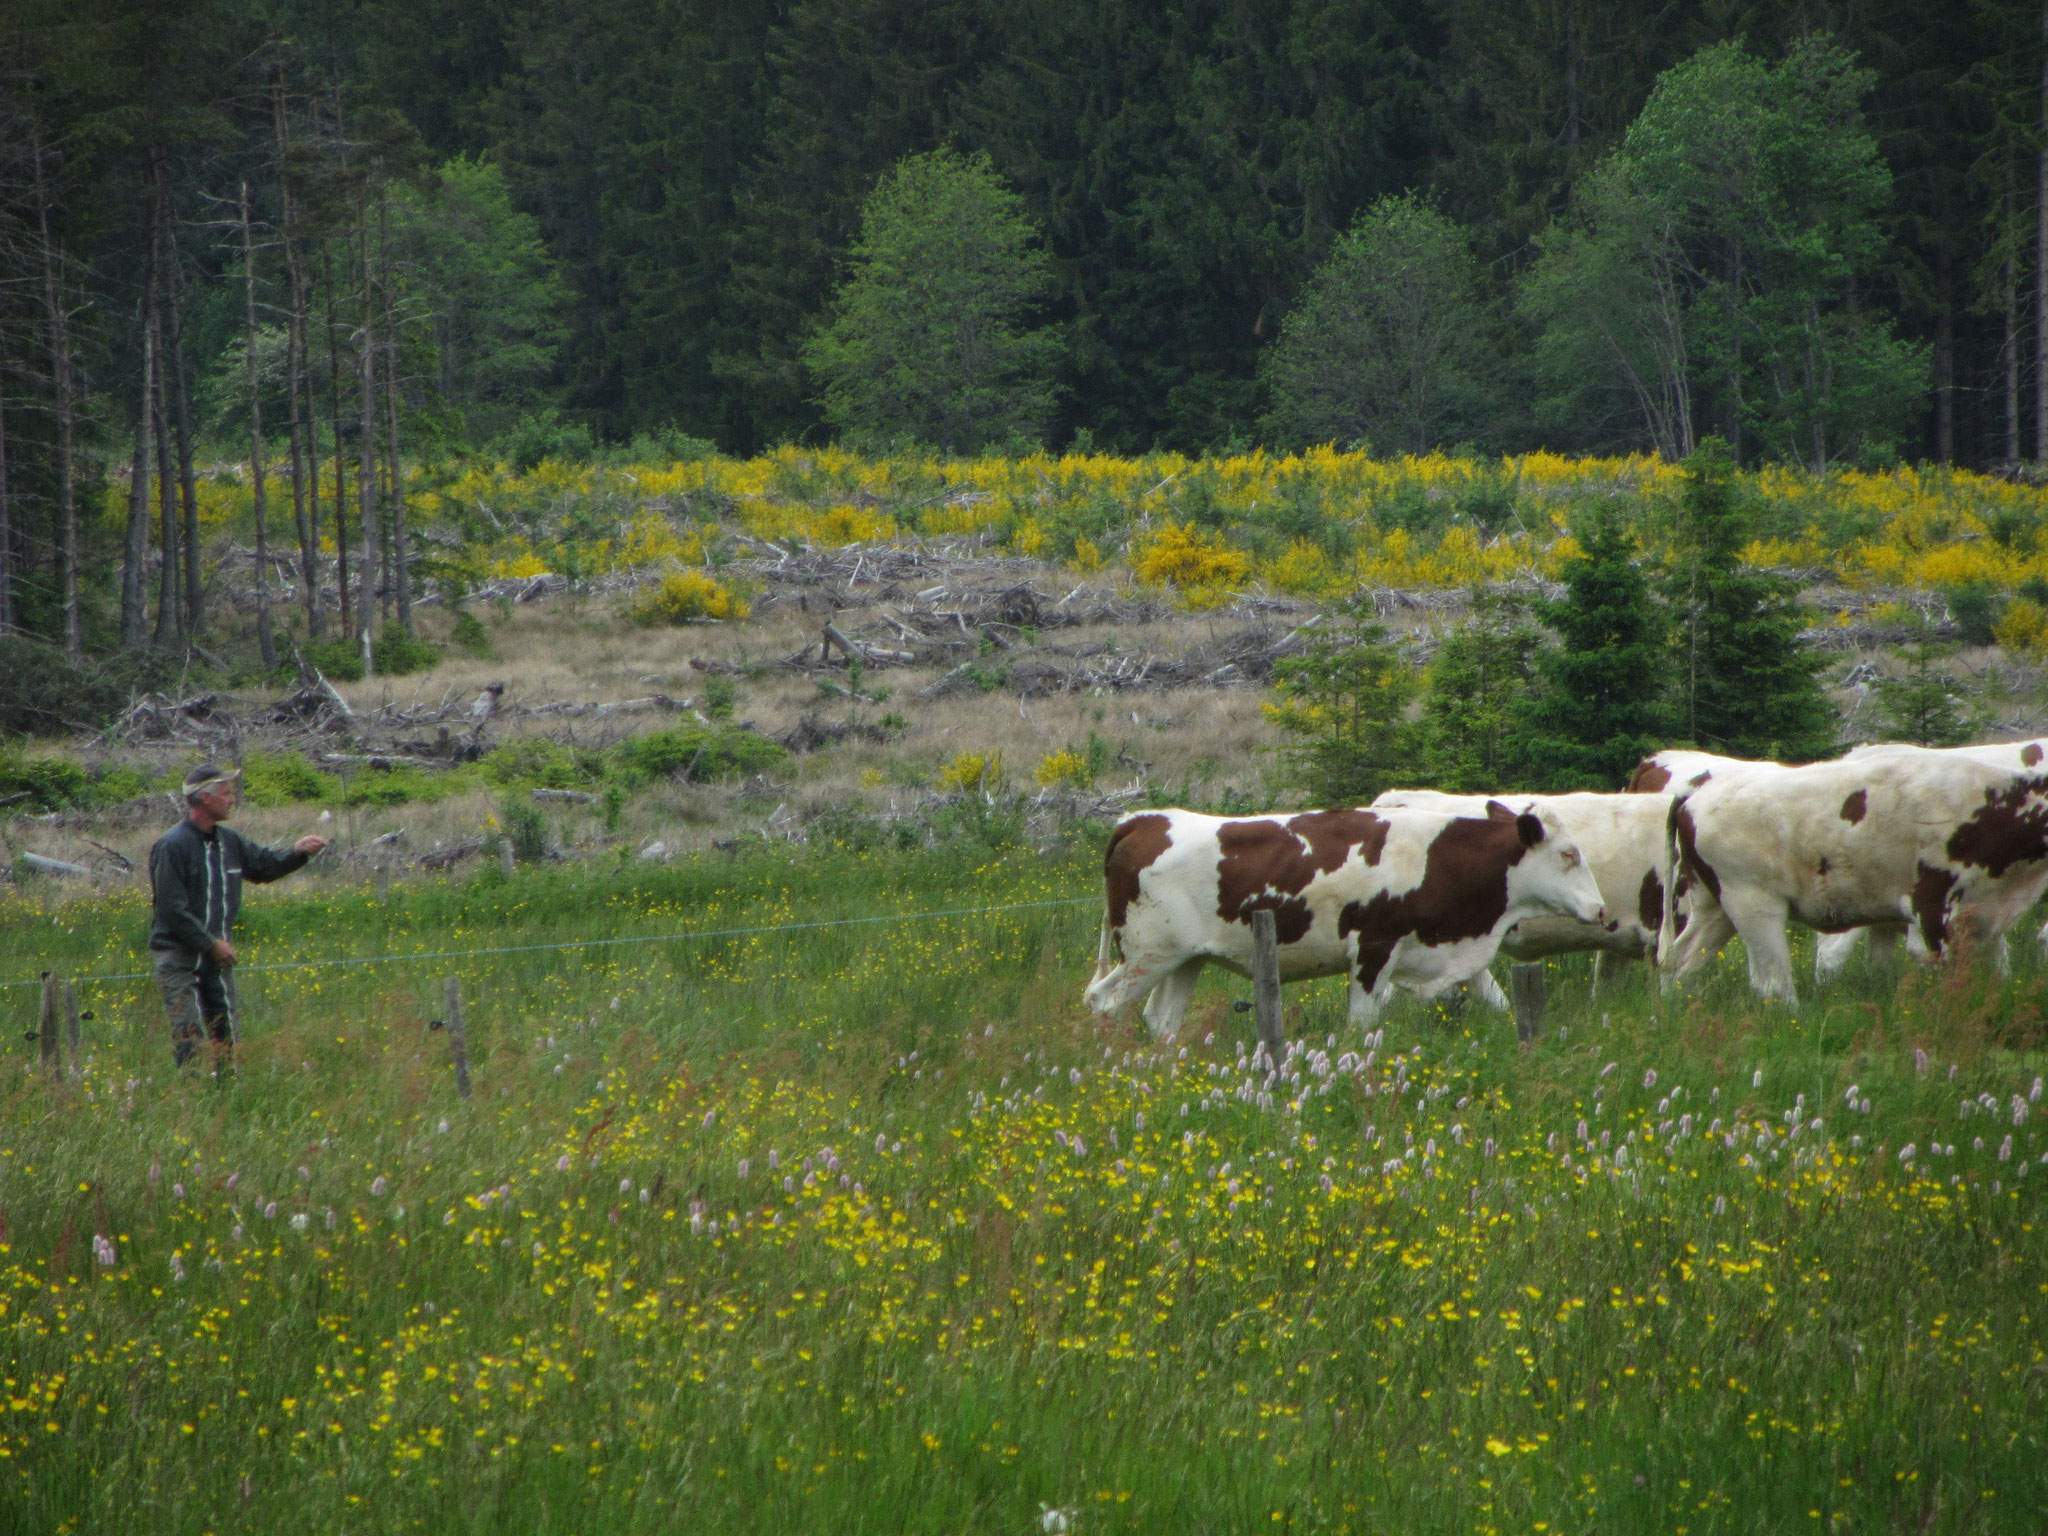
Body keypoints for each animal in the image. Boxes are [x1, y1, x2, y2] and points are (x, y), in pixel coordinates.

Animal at [1081, 798, 1605, 1040]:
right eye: (1568, 854)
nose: (1600, 910)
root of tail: (1144, 819)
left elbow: (1497, 999)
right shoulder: (1373, 951)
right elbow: (1362, 1025)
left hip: (1184, 960)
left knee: (1161, 1020)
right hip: (1147, 955)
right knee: (1104, 1002)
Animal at [1654, 757, 2048, 1011]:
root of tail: (1694, 794)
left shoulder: (1985, 915)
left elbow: (1995, 969)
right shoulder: (1932, 910)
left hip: (1713, 908)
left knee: (1680, 962)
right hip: (1753, 905)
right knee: (1772, 983)